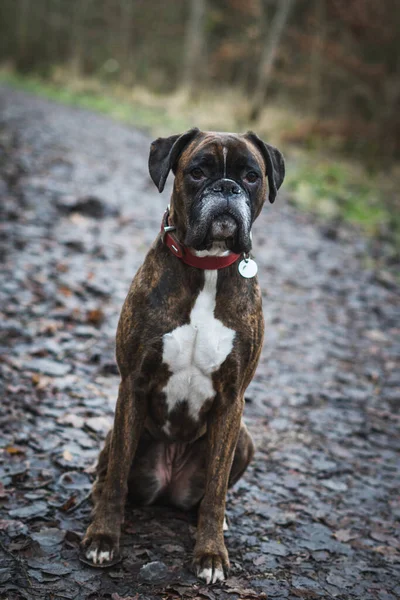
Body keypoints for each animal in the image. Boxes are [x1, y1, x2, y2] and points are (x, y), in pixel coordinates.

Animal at [82, 129, 284, 584]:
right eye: (197, 172)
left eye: (251, 176)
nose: (226, 188)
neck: (206, 266)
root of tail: (168, 484)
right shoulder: (133, 385)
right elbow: (117, 477)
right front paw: (104, 538)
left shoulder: (232, 400)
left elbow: (216, 493)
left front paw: (210, 554)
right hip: (120, 429)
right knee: (109, 471)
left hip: (244, 440)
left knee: (209, 492)